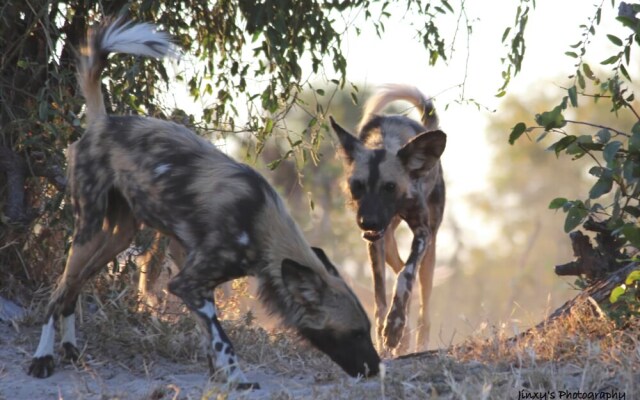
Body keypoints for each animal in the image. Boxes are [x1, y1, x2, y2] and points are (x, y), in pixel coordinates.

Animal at [28, 18, 380, 388]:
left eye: (368, 331)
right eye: (355, 334)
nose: (375, 368)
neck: (261, 224)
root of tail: (101, 122)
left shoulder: (199, 284)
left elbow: (210, 339)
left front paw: (219, 379)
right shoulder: (188, 283)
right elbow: (223, 340)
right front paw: (237, 379)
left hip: (116, 237)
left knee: (72, 290)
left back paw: (71, 350)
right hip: (90, 229)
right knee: (57, 293)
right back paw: (43, 359)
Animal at [330, 84, 444, 354]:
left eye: (389, 187)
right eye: (357, 186)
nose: (368, 221)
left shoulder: (422, 233)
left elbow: (405, 276)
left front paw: (395, 326)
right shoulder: (375, 241)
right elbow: (380, 297)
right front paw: (386, 336)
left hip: (430, 248)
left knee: (423, 299)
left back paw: (418, 340)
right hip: (389, 241)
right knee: (399, 264)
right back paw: (403, 337)